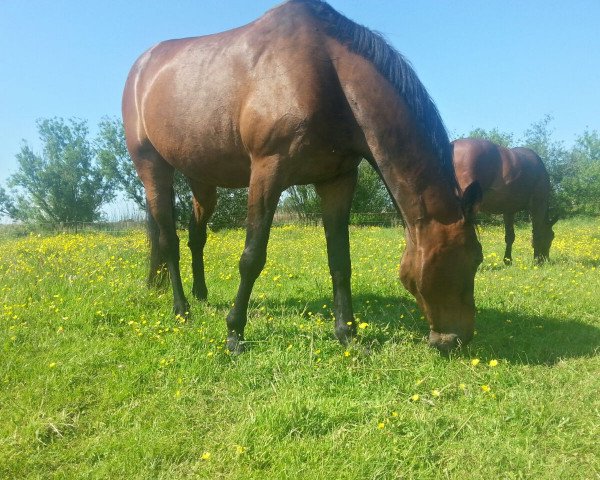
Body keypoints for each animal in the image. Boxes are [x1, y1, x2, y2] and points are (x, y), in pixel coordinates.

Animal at [122, 0, 482, 352]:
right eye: (473, 260)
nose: (458, 340)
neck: (326, 74)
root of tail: (140, 68)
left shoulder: (338, 180)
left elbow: (340, 260)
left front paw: (348, 334)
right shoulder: (268, 171)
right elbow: (251, 257)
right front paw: (235, 333)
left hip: (202, 178)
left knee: (196, 235)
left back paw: (200, 294)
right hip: (153, 168)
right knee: (169, 240)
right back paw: (182, 309)